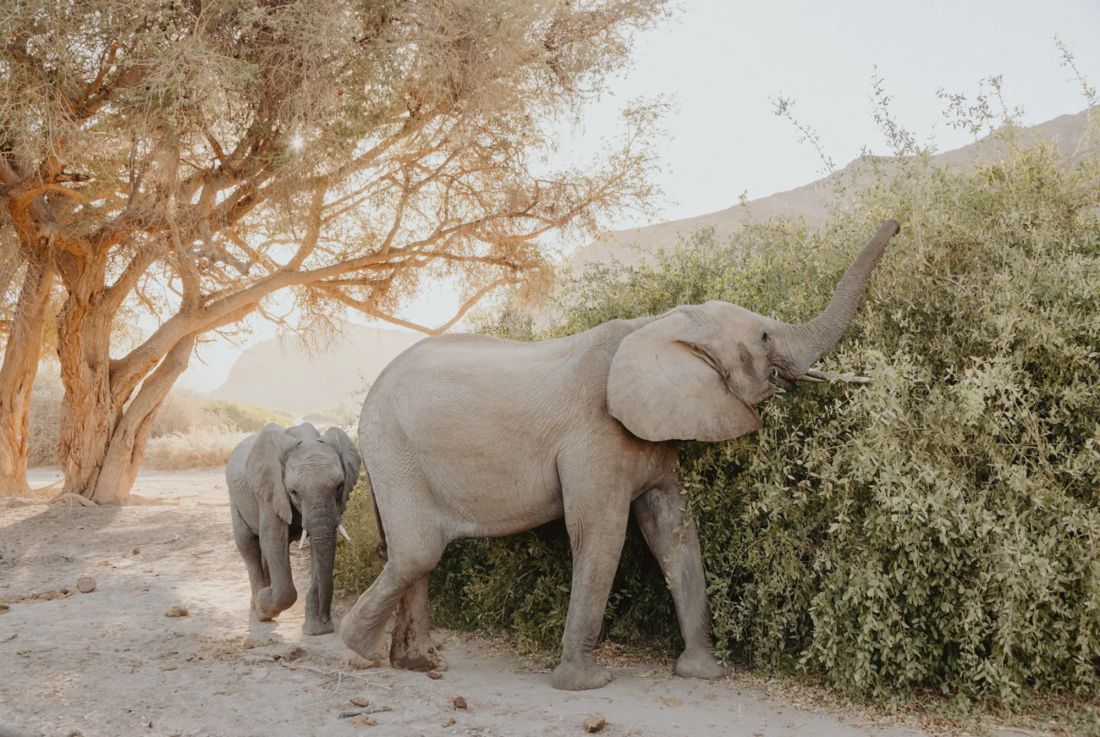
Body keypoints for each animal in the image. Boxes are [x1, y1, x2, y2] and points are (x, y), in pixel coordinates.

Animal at [226, 422, 360, 635]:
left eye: (340, 486)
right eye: (294, 492)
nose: (326, 621)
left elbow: (317, 546)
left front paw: (316, 632)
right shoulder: (270, 491)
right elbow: (272, 541)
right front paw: (265, 605)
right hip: (235, 499)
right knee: (248, 545)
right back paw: (259, 608)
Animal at [339, 220, 900, 688]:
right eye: (763, 337)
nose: (894, 224)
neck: (656, 324)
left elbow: (673, 528)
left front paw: (703, 674)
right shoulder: (595, 435)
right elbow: (603, 532)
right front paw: (586, 684)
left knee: (415, 553)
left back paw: (417, 663)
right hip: (393, 449)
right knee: (418, 551)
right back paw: (358, 649)